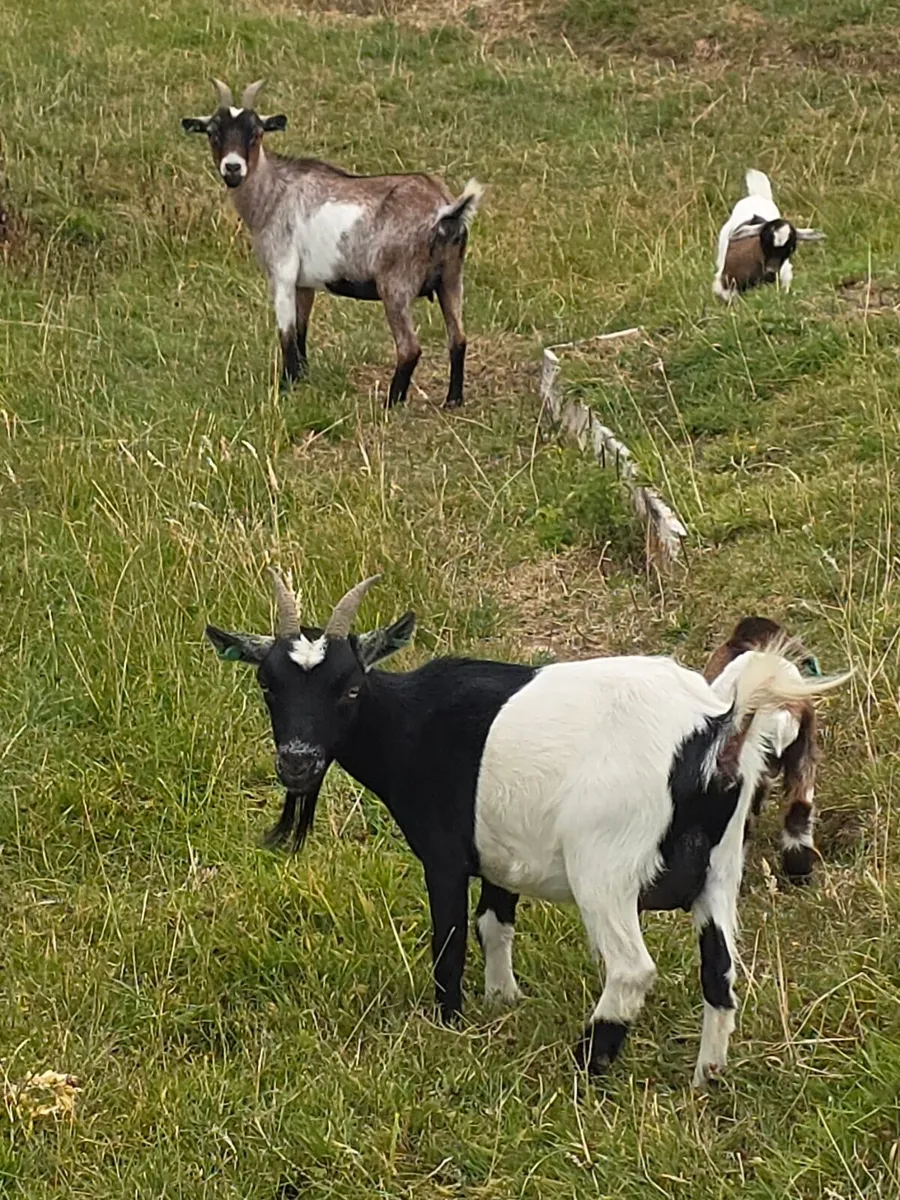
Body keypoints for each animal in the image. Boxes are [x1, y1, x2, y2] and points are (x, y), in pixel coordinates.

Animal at [182, 80, 483, 407]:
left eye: (256, 133)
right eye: (213, 133)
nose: (233, 168)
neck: (273, 194)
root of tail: (445, 209)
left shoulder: (282, 272)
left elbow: (286, 334)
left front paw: (286, 386)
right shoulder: (304, 283)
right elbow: (301, 330)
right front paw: (301, 378)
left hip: (396, 285)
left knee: (409, 348)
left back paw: (390, 403)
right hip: (451, 278)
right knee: (459, 338)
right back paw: (453, 400)